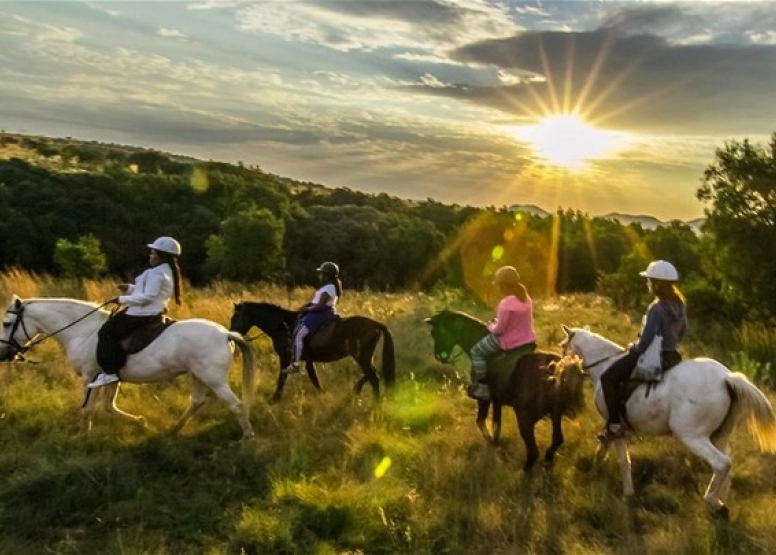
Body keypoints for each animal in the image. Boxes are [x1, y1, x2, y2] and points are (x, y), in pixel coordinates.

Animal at [0, 296, 258, 438]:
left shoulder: (90, 377)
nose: (4, 354)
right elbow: (108, 407)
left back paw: (247, 438)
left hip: (213, 378)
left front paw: (83, 436)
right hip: (198, 375)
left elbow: (88, 409)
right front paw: (141, 422)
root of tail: (225, 334)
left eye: (7, 323)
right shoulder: (111, 377)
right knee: (197, 401)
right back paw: (174, 429)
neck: (82, 331)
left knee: (235, 405)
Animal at [226, 302, 394, 402]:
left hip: (361, 356)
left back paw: (375, 404)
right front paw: (323, 394)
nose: (230, 337)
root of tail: (376, 324)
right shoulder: (308, 359)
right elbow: (314, 378)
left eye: (235, 317)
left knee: (374, 377)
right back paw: (358, 389)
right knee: (373, 372)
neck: (283, 325)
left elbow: (282, 378)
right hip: (364, 356)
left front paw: (274, 399)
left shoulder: (285, 357)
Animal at [428, 310, 584, 472]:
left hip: (525, 417)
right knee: (557, 440)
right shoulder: (497, 400)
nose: (439, 356)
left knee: (533, 451)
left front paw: (491, 444)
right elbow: (497, 424)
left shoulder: (484, 399)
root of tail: (556, 368)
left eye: (435, 333)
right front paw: (496, 445)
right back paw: (547, 462)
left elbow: (481, 421)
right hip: (555, 414)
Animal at [560, 324, 772, 516]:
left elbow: (623, 461)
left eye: (563, 345)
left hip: (692, 435)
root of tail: (726, 378)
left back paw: (712, 500)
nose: (561, 364)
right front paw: (593, 471)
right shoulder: (614, 428)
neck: (604, 364)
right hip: (719, 436)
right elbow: (602, 450)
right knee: (728, 467)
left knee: (722, 464)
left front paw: (628, 494)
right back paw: (720, 504)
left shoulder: (616, 426)